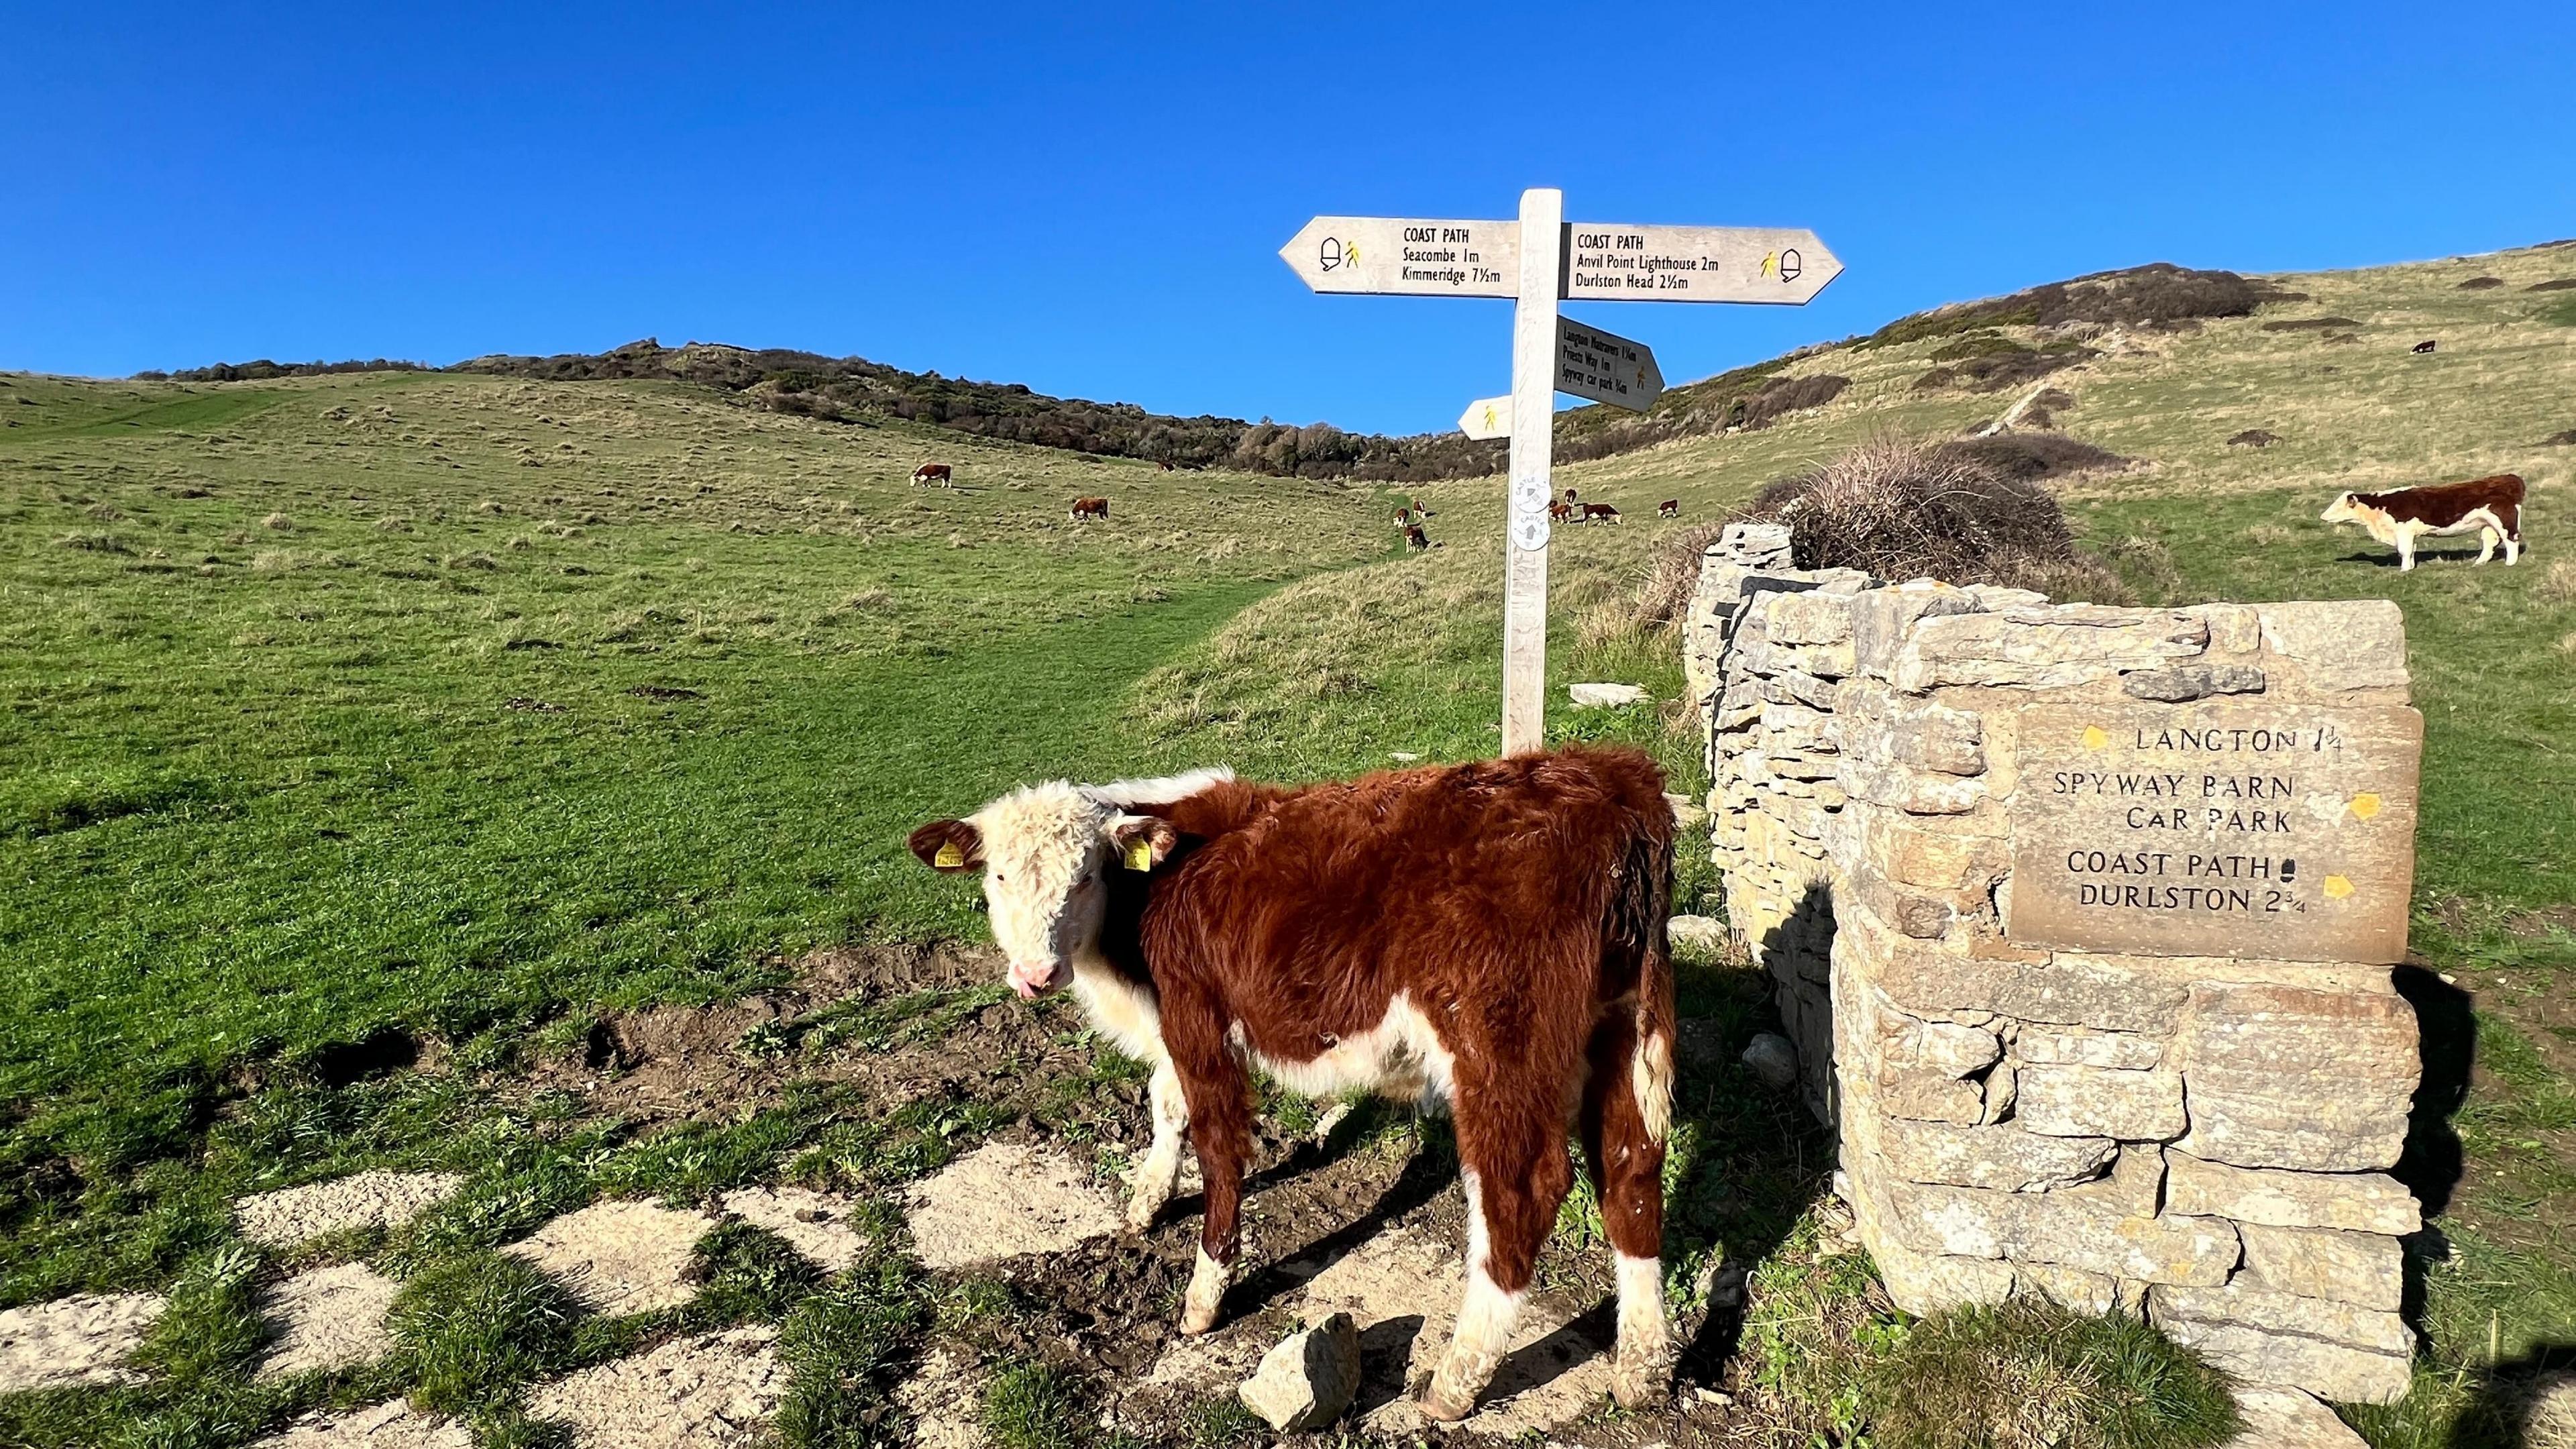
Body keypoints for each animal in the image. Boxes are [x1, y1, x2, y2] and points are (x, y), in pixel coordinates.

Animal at [907, 750, 1679, 1420]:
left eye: (1086, 876)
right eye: (998, 879)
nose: (1036, 975)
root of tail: (1607, 782)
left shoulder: (1199, 1021)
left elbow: (1219, 1149)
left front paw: (1205, 1294)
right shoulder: (1172, 1031)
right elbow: (1165, 1105)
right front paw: (1147, 1200)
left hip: (1500, 1048)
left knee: (1522, 1191)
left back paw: (1459, 1378)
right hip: (1626, 1029)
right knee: (1631, 1170)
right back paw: (1642, 1368)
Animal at [2322, 474, 2525, 571]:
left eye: (2338, 506)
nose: (2323, 516)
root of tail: (2510, 478)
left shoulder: (2403, 531)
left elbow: (2404, 551)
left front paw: (2404, 570)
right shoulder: (2410, 533)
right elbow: (2411, 550)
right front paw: (2411, 567)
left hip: (2504, 520)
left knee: (2511, 539)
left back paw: (2510, 563)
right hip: (2487, 523)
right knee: (2490, 543)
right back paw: (2479, 563)